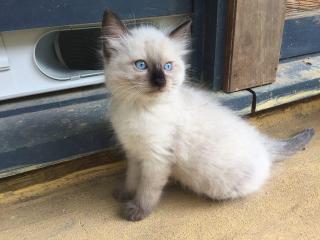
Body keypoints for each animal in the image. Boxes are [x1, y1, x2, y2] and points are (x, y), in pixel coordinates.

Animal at [100, 10, 316, 221]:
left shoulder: (156, 159)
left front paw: (137, 211)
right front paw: (125, 194)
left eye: (168, 67)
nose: (161, 82)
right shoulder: (135, 153)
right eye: (141, 65)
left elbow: (147, 190)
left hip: (218, 183)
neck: (138, 107)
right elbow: (132, 178)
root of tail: (263, 143)